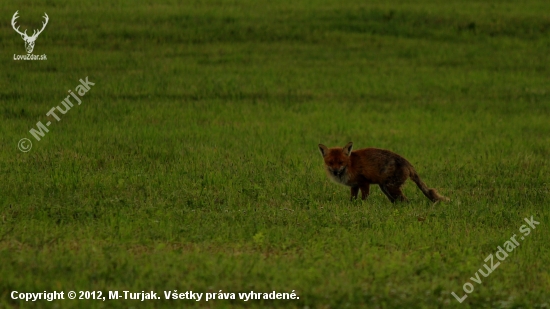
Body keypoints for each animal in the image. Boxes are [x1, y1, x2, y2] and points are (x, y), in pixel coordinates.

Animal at [320, 141, 448, 202]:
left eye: (341, 162)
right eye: (331, 163)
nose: (335, 171)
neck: (350, 165)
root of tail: (407, 163)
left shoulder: (364, 182)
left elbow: (364, 199)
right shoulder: (354, 185)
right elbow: (353, 199)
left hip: (391, 187)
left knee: (406, 201)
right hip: (386, 188)